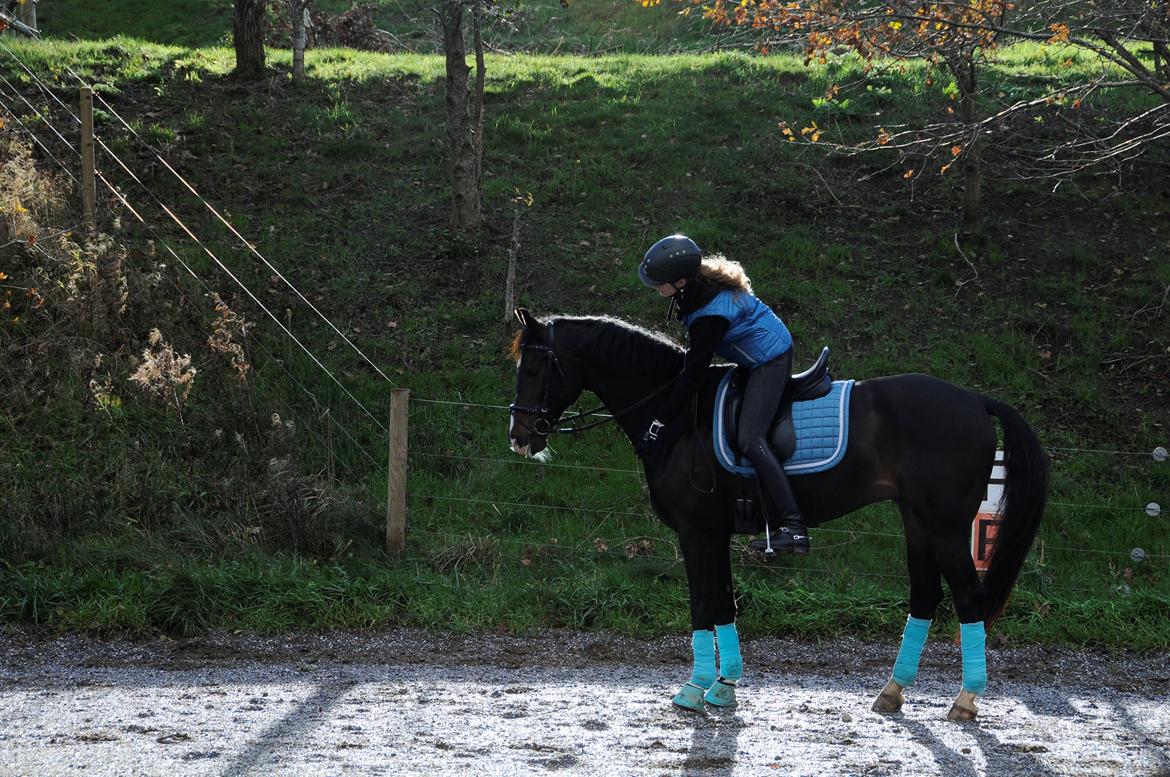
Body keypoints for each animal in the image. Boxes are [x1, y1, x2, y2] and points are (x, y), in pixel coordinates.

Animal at [507, 309, 1047, 721]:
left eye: (532, 370)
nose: (519, 436)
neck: (677, 416)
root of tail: (975, 400)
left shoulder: (697, 532)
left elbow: (703, 605)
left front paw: (694, 689)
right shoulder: (714, 534)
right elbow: (723, 604)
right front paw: (724, 687)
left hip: (947, 525)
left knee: (969, 598)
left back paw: (966, 699)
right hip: (917, 521)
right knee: (925, 595)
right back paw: (893, 691)